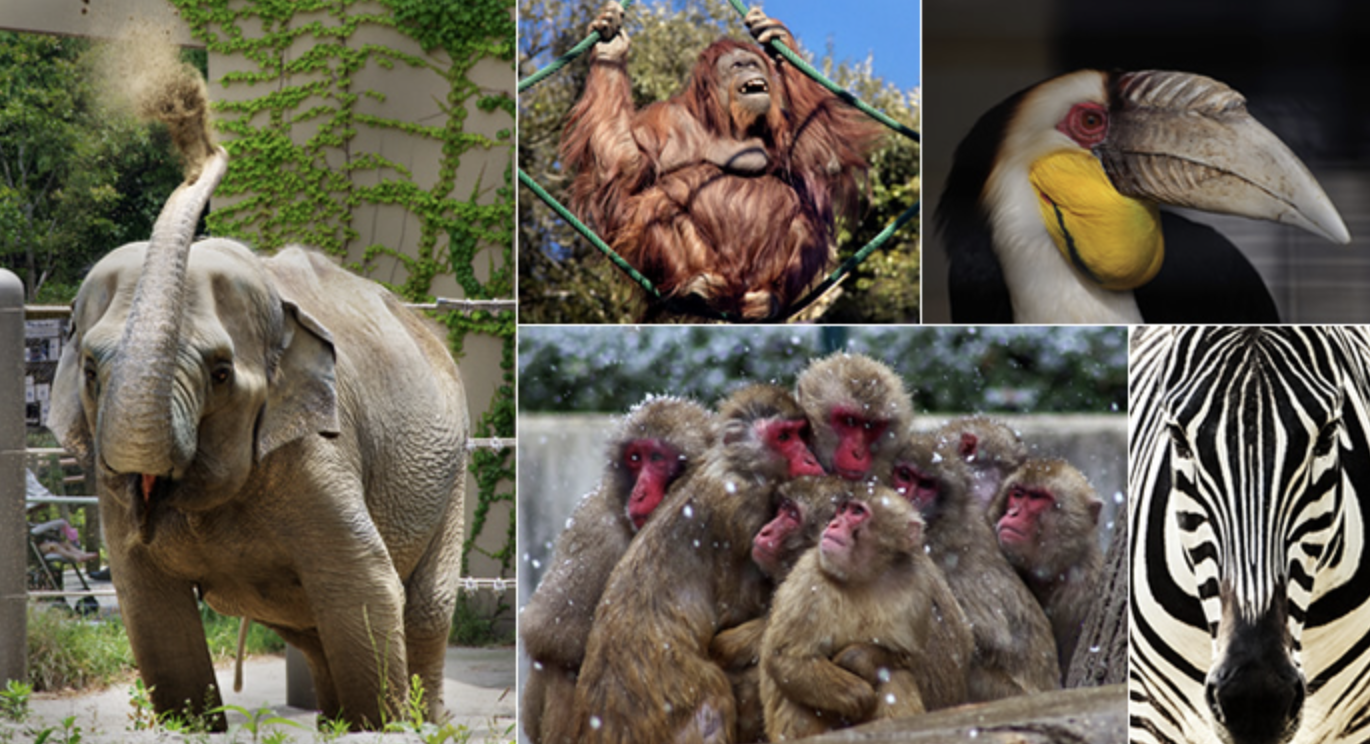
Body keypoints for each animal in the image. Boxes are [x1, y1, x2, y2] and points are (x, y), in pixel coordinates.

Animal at [48, 147, 471, 734]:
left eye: (221, 373)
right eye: (90, 370)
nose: (208, 150)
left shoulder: (319, 450)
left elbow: (364, 585)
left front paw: (383, 726)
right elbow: (152, 610)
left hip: (452, 473)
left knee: (425, 608)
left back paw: (427, 722)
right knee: (313, 628)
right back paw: (332, 721)